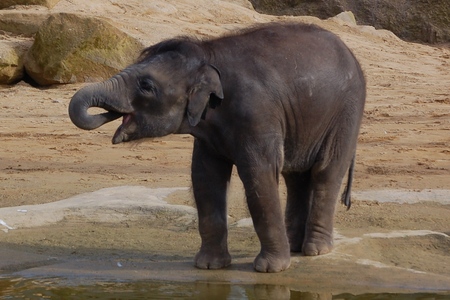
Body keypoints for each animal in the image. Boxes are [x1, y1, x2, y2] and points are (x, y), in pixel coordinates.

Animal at [69, 22, 366, 274]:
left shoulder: (257, 113)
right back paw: (294, 246)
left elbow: (259, 176)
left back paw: (316, 250)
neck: (207, 55)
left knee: (326, 172)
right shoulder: (208, 134)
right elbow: (205, 179)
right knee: (295, 177)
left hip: (346, 113)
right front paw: (209, 266)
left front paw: (270, 269)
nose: (107, 114)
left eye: (146, 86)